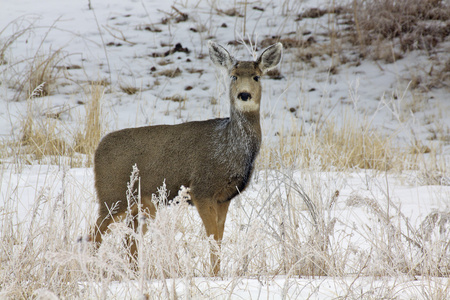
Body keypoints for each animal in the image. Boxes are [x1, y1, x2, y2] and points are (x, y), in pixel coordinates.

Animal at [91, 41, 282, 276]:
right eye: (233, 76)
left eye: (256, 76)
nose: (244, 95)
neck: (229, 148)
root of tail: (97, 150)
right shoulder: (201, 189)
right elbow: (212, 238)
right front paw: (213, 275)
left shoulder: (224, 197)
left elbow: (219, 238)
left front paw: (217, 273)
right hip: (112, 194)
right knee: (96, 232)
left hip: (142, 203)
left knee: (129, 239)